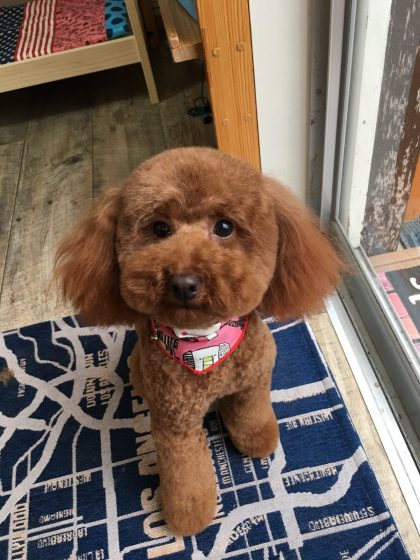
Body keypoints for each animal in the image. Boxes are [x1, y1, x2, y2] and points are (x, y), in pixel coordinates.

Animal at [55, 147, 343, 536]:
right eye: (160, 229)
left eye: (224, 227)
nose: (183, 282)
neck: (204, 343)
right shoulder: (174, 421)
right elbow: (185, 473)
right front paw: (188, 514)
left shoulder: (254, 381)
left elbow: (251, 415)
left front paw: (258, 439)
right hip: (140, 369)